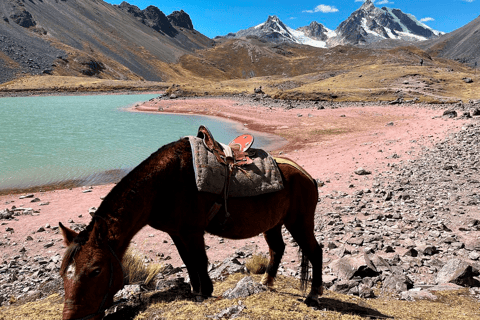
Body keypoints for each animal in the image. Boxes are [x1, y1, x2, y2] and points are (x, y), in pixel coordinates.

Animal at [59, 138, 322, 320]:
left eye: (95, 271)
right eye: (64, 272)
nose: (71, 317)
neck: (163, 185)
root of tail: (306, 175)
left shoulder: (193, 232)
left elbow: (200, 261)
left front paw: (205, 292)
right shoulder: (177, 233)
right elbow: (188, 261)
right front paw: (196, 291)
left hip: (299, 222)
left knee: (315, 251)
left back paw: (313, 295)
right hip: (273, 224)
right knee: (277, 249)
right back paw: (267, 283)